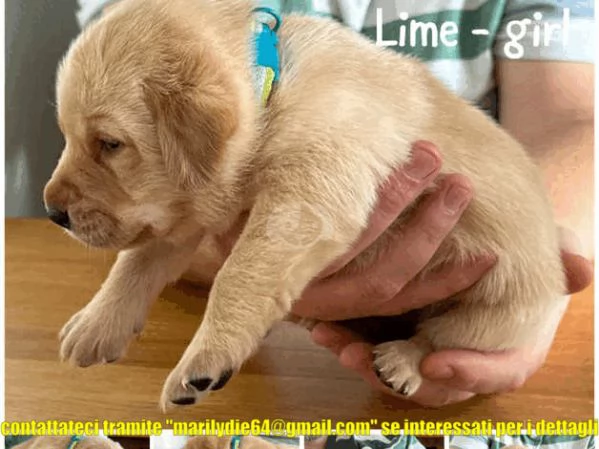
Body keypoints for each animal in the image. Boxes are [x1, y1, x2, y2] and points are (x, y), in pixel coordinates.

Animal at [44, 0, 568, 408]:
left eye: (110, 144)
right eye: (69, 136)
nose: (52, 213)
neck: (271, 95)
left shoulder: (308, 193)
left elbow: (238, 275)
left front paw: (203, 359)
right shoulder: (186, 210)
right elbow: (135, 262)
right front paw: (96, 323)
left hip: (502, 314)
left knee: (440, 339)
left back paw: (403, 360)